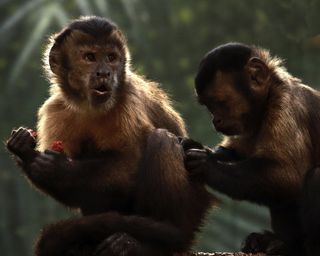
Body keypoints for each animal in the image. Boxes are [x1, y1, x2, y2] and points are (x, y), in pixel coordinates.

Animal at [5, 16, 214, 256]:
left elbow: (129, 164)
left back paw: (154, 241)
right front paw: (25, 151)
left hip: (193, 209)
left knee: (162, 140)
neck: (89, 107)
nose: (104, 73)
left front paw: (58, 167)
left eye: (111, 58)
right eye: (90, 57)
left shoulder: (129, 102)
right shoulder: (55, 110)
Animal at [184, 42, 320, 256]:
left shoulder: (286, 108)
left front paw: (206, 166)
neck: (268, 99)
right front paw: (195, 147)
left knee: (315, 177)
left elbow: (288, 176)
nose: (215, 120)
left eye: (219, 102)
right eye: (208, 106)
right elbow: (234, 153)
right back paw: (281, 243)